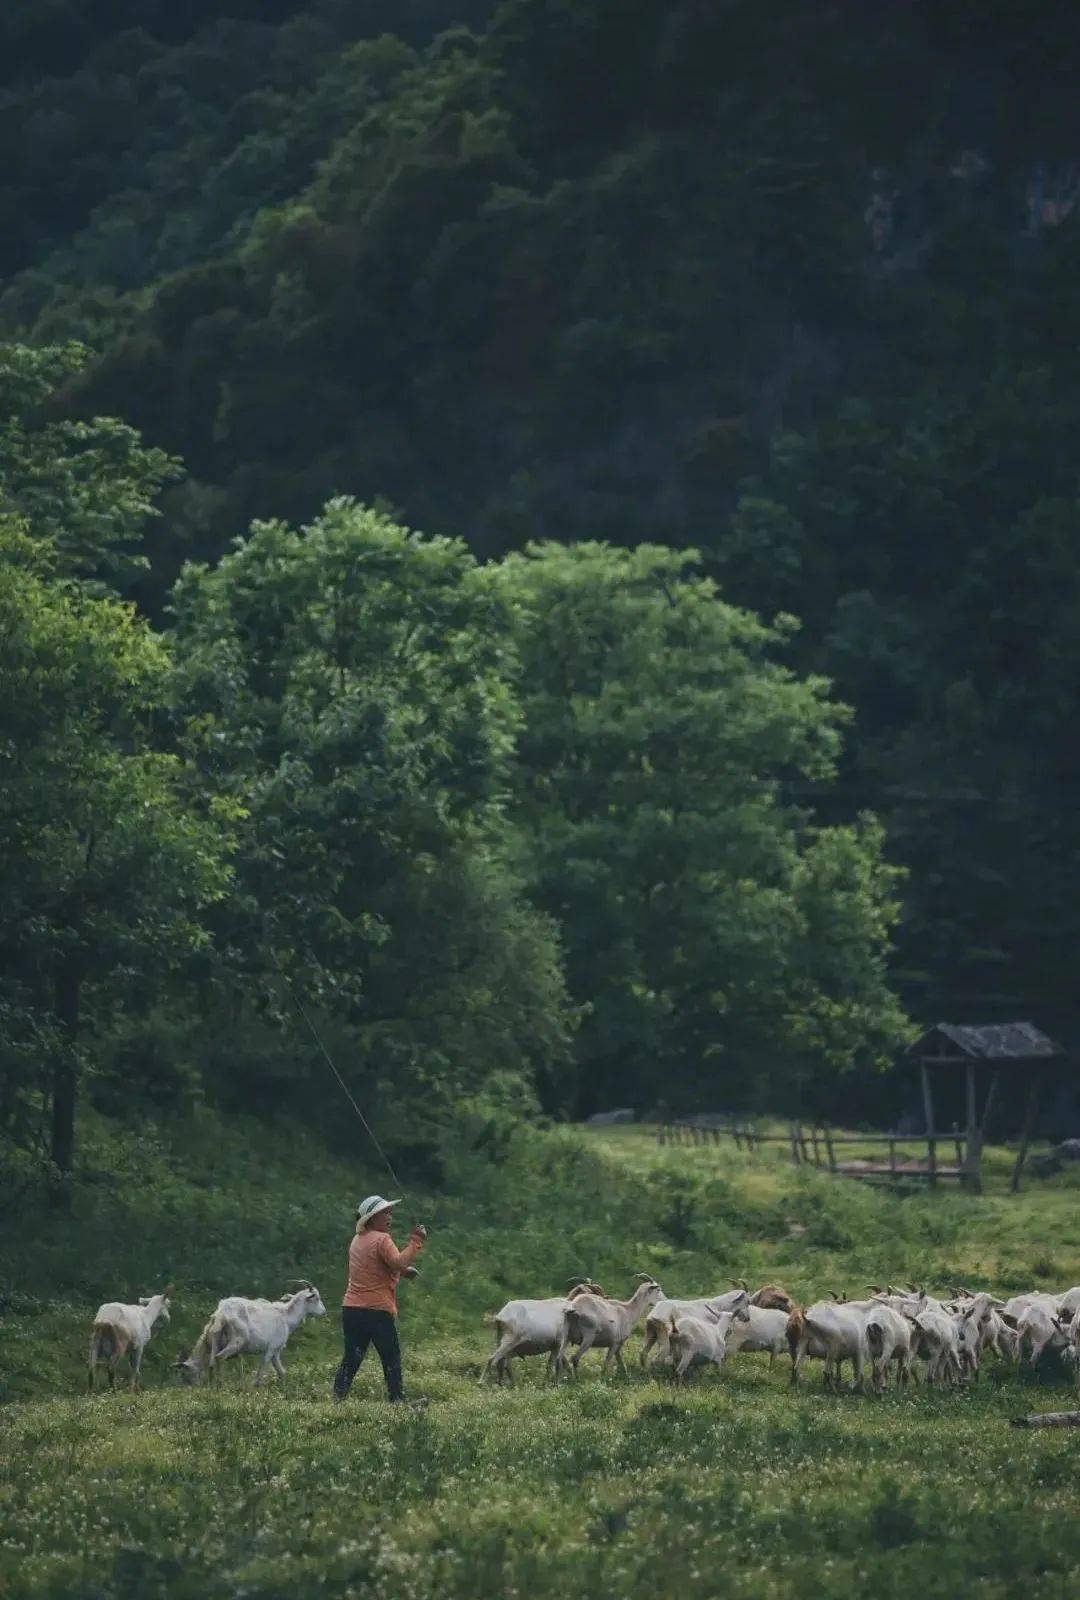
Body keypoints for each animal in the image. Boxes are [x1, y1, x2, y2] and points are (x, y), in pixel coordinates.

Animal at [178, 1273, 324, 1388]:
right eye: (316, 1298)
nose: (324, 1311)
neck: (286, 1316)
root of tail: (221, 1314)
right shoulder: (271, 1348)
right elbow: (263, 1368)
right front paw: (256, 1386)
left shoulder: (275, 1351)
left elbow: (281, 1371)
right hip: (237, 1340)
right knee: (219, 1357)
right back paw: (221, 1385)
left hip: (216, 1339)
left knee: (212, 1362)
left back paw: (214, 1385)